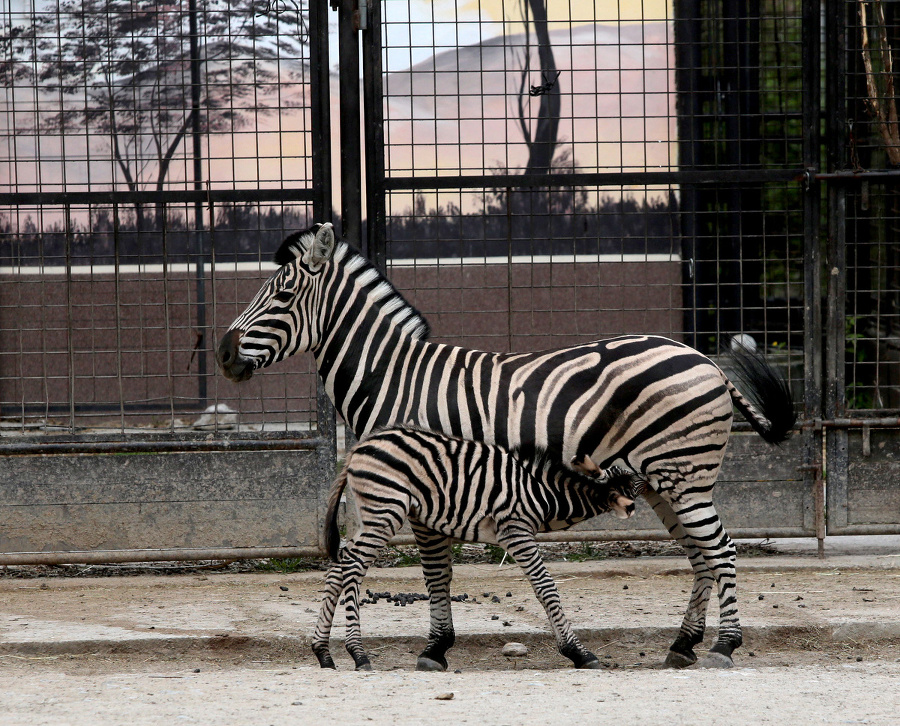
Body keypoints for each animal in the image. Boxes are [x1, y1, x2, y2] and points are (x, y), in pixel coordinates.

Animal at [312, 430, 636, 672]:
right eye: (637, 484)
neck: (542, 493)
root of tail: (357, 449)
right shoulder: (515, 530)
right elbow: (545, 586)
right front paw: (578, 652)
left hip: (372, 514)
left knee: (339, 566)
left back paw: (323, 653)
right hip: (386, 509)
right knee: (353, 566)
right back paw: (358, 654)